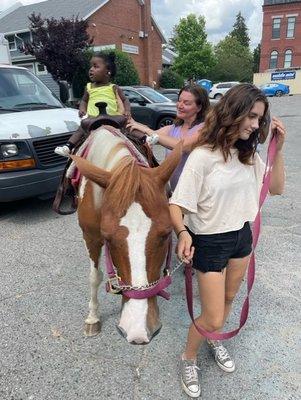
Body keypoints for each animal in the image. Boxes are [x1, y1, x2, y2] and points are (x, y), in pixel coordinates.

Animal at [70, 128, 180, 344]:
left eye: (166, 234)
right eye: (108, 239)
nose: (137, 331)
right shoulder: (91, 237)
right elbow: (94, 276)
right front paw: (92, 317)